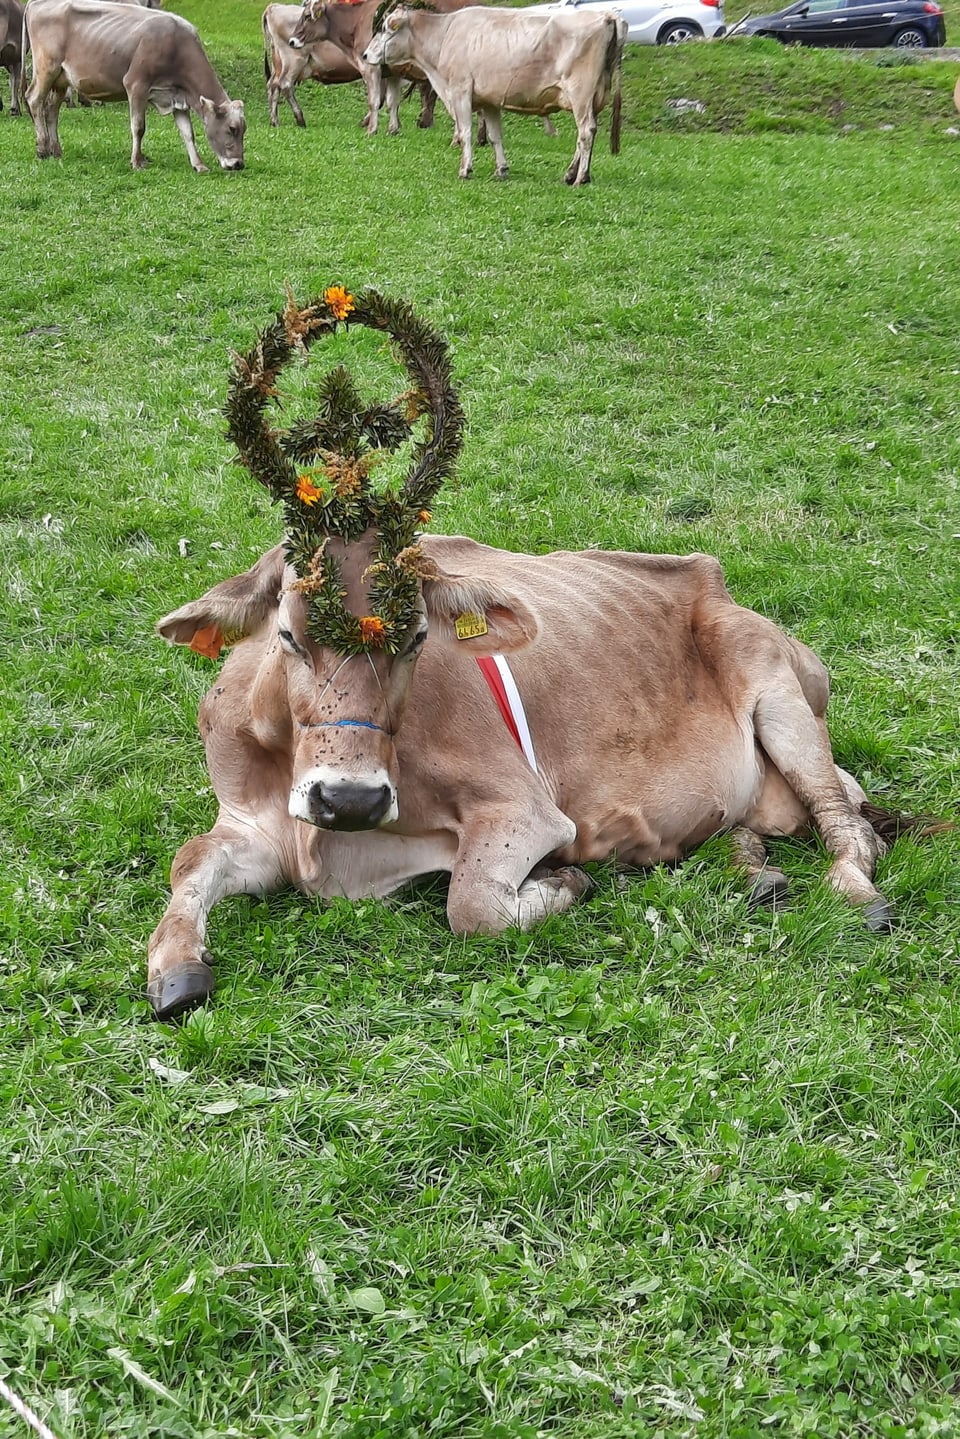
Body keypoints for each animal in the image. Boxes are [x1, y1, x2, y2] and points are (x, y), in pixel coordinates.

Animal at [25, 0, 246, 169]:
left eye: (244, 129)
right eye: (232, 128)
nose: (238, 164)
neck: (177, 48)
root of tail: (38, 2)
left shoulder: (177, 97)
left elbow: (188, 133)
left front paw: (198, 164)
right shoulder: (136, 84)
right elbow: (138, 127)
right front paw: (137, 162)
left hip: (62, 79)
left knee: (51, 110)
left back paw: (56, 150)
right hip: (47, 68)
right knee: (34, 99)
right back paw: (42, 148)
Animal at [364, 3, 627, 182]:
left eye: (386, 30)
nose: (365, 55)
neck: (444, 35)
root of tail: (606, 15)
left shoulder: (460, 90)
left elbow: (466, 132)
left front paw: (465, 169)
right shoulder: (489, 100)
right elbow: (494, 136)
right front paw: (501, 169)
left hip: (580, 93)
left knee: (586, 131)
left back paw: (581, 177)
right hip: (595, 97)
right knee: (587, 134)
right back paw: (572, 173)